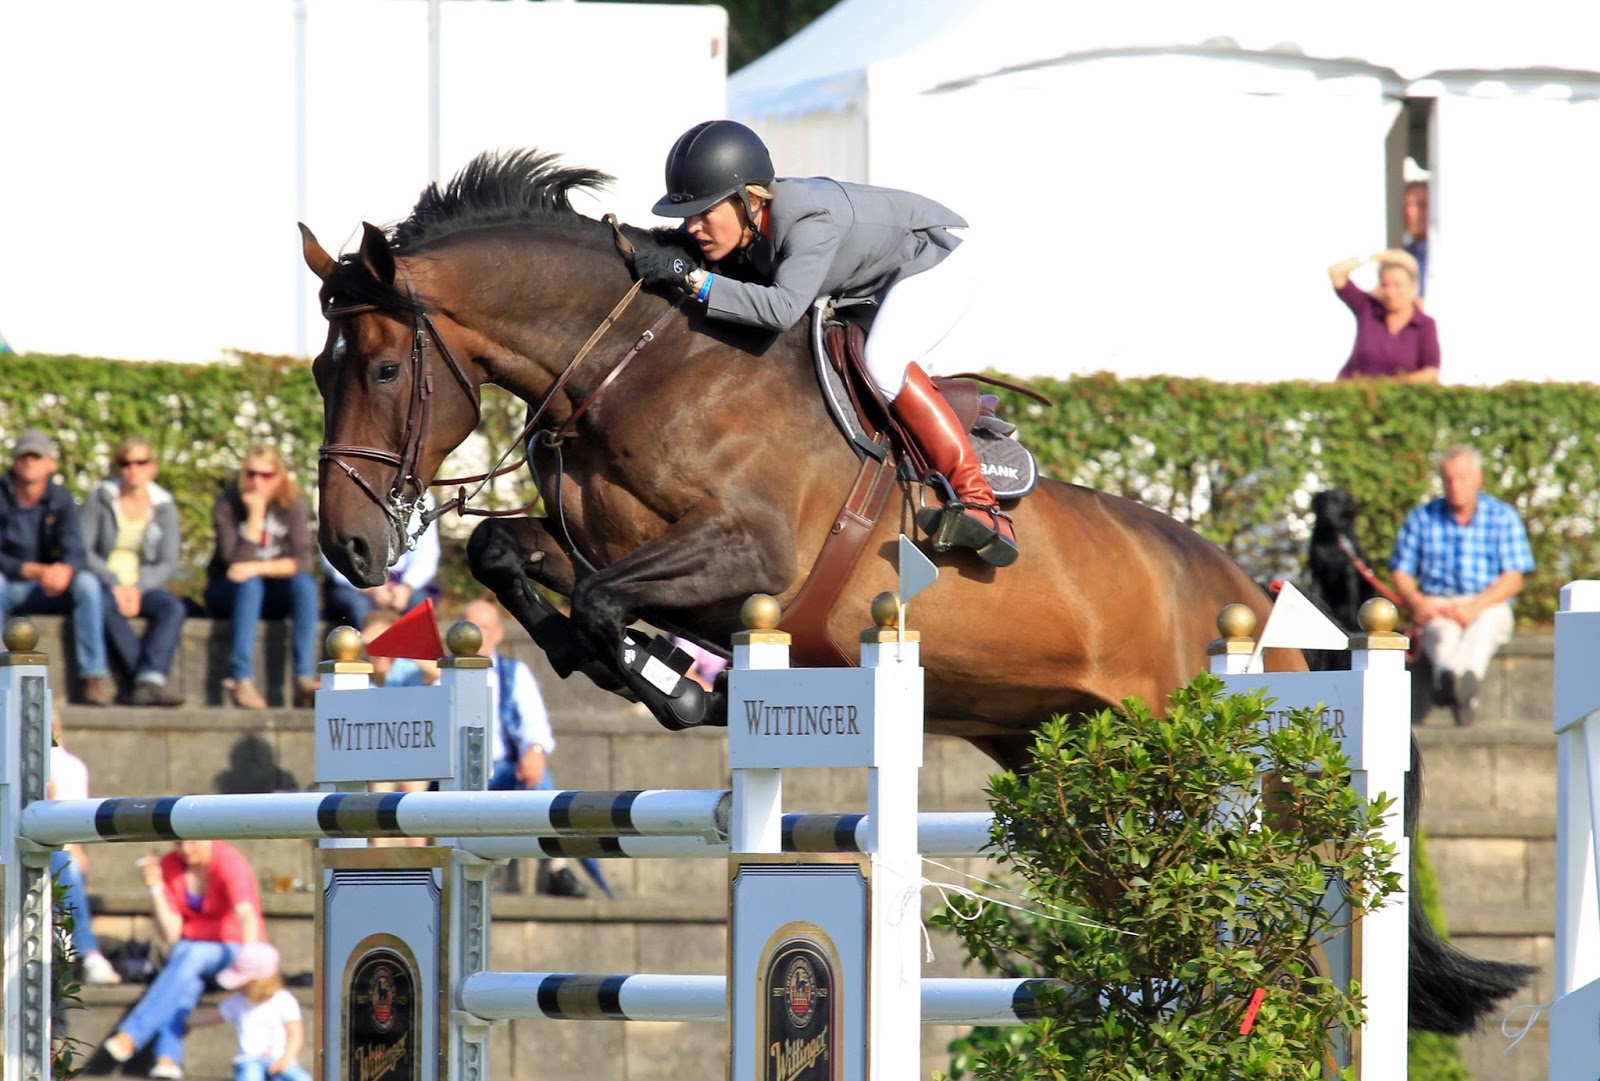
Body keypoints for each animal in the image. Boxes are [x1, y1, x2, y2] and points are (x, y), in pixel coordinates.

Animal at [304, 148, 1529, 1034]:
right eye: (320, 370)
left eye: (382, 368)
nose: (353, 553)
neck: (639, 365)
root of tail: (1260, 602)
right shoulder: (600, 542)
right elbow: (512, 558)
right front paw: (631, 668)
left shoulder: (747, 560)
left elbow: (611, 603)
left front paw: (685, 687)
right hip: (1086, 788)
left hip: (1232, 797)